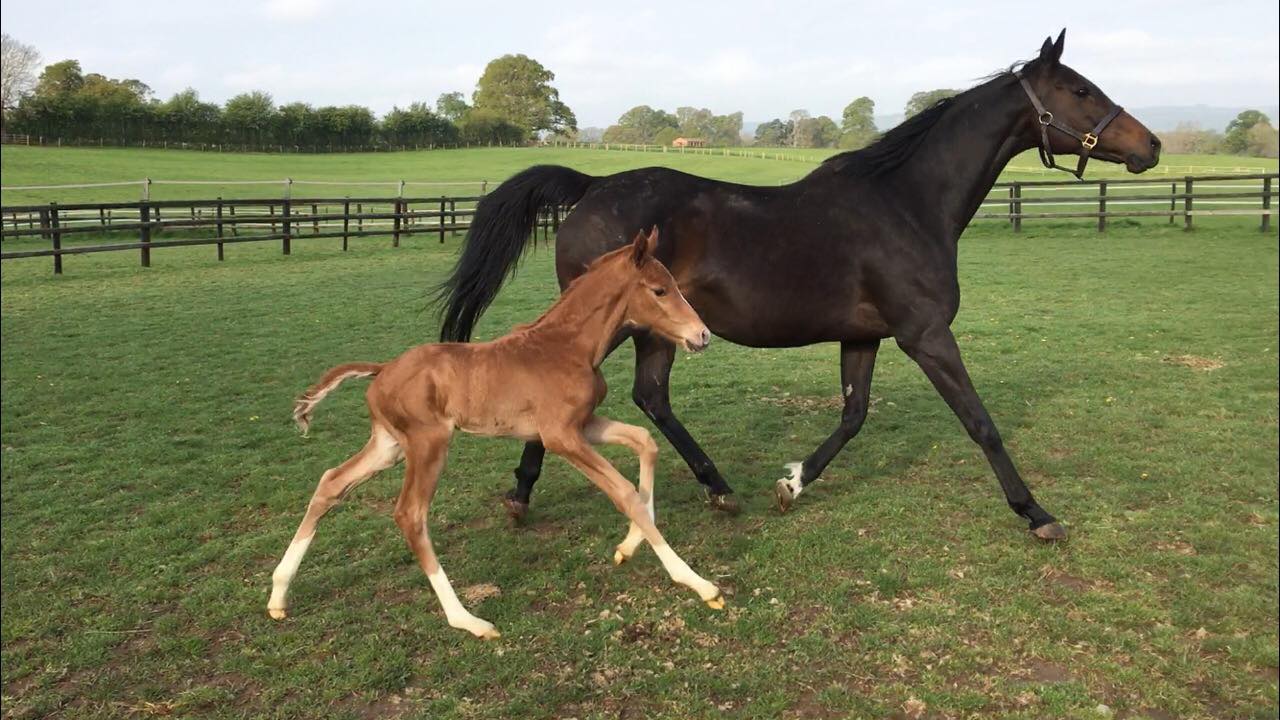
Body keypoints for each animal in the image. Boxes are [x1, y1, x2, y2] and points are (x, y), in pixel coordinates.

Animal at [264, 226, 727, 635]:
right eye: (660, 290)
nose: (703, 335)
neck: (568, 346)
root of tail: (382, 370)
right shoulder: (560, 436)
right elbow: (625, 493)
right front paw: (698, 583)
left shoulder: (581, 425)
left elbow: (645, 444)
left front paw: (627, 547)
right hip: (428, 444)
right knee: (410, 514)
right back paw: (468, 621)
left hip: (389, 445)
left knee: (331, 483)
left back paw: (278, 595)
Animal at [430, 32, 1162, 538]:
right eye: (1080, 90)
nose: (1151, 146)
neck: (906, 203)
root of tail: (592, 186)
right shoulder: (926, 335)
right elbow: (981, 423)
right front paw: (1036, 512)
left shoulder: (865, 337)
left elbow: (853, 416)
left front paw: (792, 485)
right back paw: (527, 496)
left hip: (655, 332)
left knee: (652, 397)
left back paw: (715, 488)